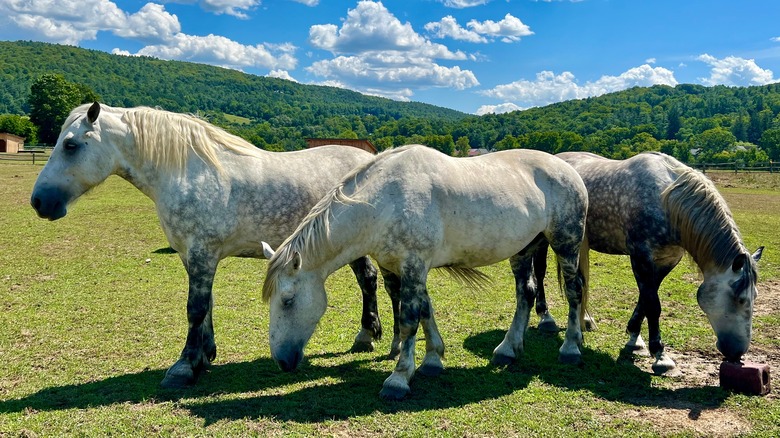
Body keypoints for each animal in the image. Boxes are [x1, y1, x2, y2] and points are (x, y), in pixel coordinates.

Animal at [30, 102, 386, 387]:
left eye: (71, 145)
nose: (38, 202)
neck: (188, 174)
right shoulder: (191, 255)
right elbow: (207, 304)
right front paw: (205, 355)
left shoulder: (203, 253)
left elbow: (195, 307)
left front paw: (184, 367)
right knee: (368, 279)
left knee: (369, 280)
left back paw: (367, 335)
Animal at [261, 144, 589, 400]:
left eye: (288, 300)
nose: (282, 361)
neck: (385, 202)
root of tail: (569, 170)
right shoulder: (408, 269)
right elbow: (426, 312)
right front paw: (432, 360)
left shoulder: (414, 265)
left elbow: (409, 320)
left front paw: (399, 378)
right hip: (524, 249)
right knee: (526, 293)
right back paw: (507, 350)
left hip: (566, 243)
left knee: (574, 292)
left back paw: (571, 348)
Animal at [532, 151, 763, 375]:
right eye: (739, 299)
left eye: (755, 296)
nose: (737, 353)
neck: (667, 202)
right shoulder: (641, 257)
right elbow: (653, 304)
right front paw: (660, 356)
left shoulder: (666, 261)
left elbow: (645, 299)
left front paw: (635, 338)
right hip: (546, 240)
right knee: (541, 272)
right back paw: (546, 318)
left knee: (581, 281)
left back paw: (586, 320)